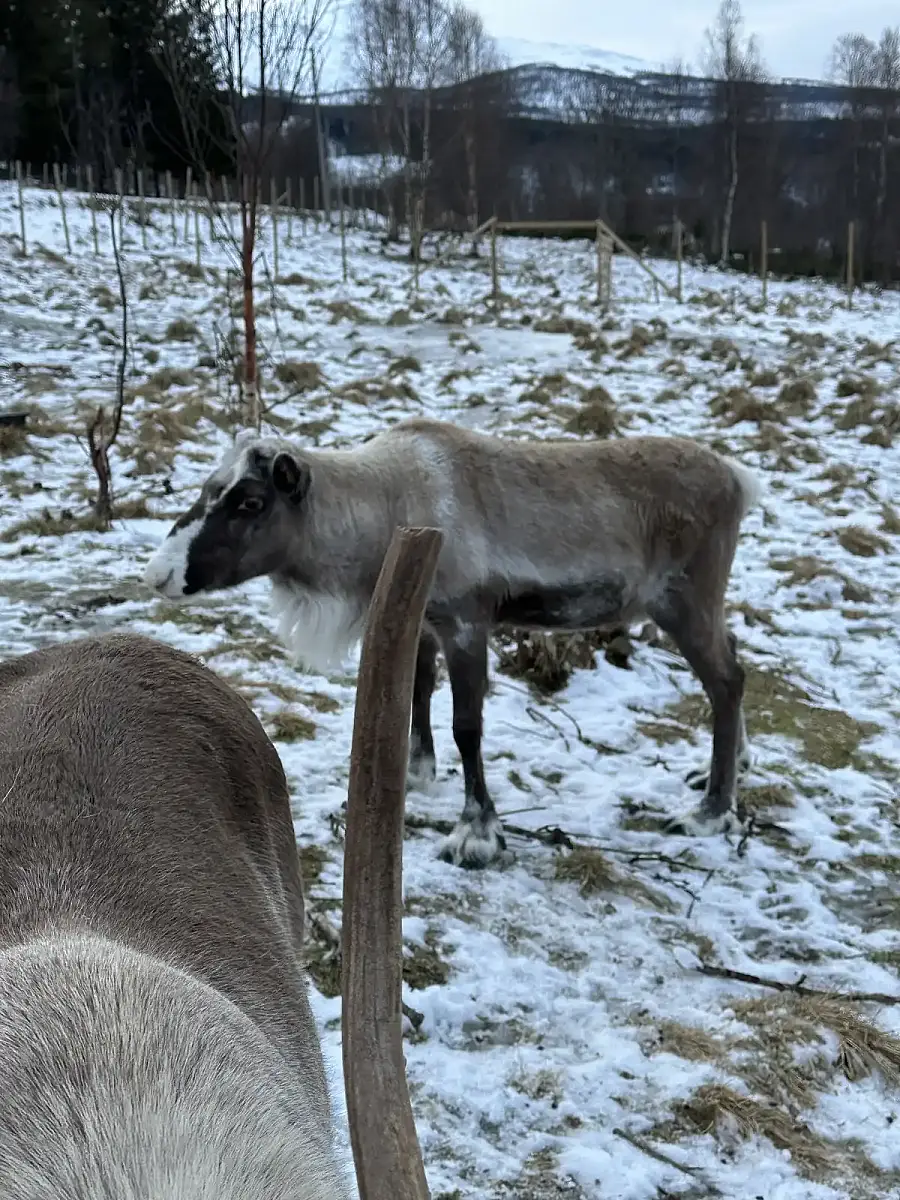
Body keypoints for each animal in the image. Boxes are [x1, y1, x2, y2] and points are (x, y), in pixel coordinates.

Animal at [143, 416, 762, 871]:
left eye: (250, 501)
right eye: (210, 488)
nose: (159, 574)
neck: (385, 506)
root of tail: (738, 478)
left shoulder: (467, 621)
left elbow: (468, 726)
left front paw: (478, 832)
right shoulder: (424, 617)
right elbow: (418, 690)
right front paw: (417, 771)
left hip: (684, 600)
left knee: (728, 679)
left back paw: (711, 809)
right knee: (734, 657)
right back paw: (729, 767)